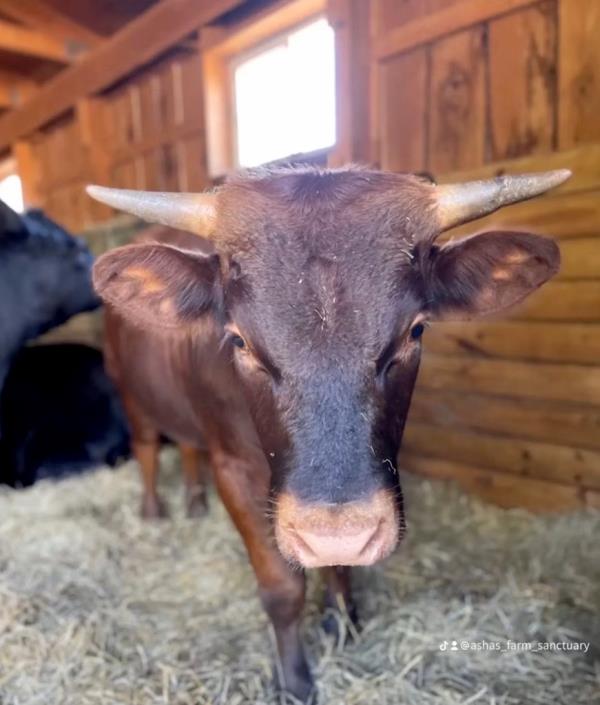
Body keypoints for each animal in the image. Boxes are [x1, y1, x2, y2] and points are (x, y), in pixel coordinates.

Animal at [87, 165, 569, 702]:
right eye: (238, 340)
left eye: (415, 331)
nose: (337, 532)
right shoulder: (233, 468)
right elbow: (282, 587)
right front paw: (295, 679)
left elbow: (339, 563)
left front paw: (341, 621)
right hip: (132, 397)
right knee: (148, 449)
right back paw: (153, 513)